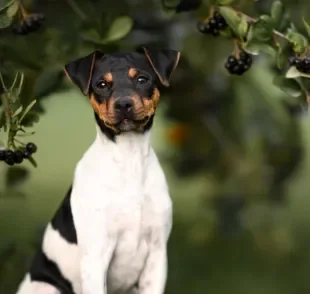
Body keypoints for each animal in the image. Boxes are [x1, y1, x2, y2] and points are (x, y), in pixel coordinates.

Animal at [15, 46, 180, 294]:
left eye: (142, 79)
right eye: (102, 84)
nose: (123, 104)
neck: (129, 161)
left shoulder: (157, 257)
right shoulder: (95, 258)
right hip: (47, 287)